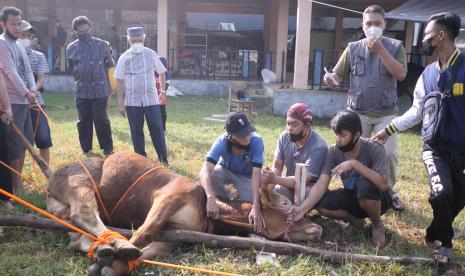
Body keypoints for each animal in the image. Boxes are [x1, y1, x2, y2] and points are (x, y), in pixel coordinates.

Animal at [26, 149, 322, 276]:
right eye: (285, 205)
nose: (317, 227)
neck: (209, 212)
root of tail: (51, 179)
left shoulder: (172, 237)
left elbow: (146, 253)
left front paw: (113, 265)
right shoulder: (167, 199)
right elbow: (143, 235)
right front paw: (114, 258)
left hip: (63, 211)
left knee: (78, 237)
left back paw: (103, 249)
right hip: (80, 182)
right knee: (84, 214)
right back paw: (115, 245)